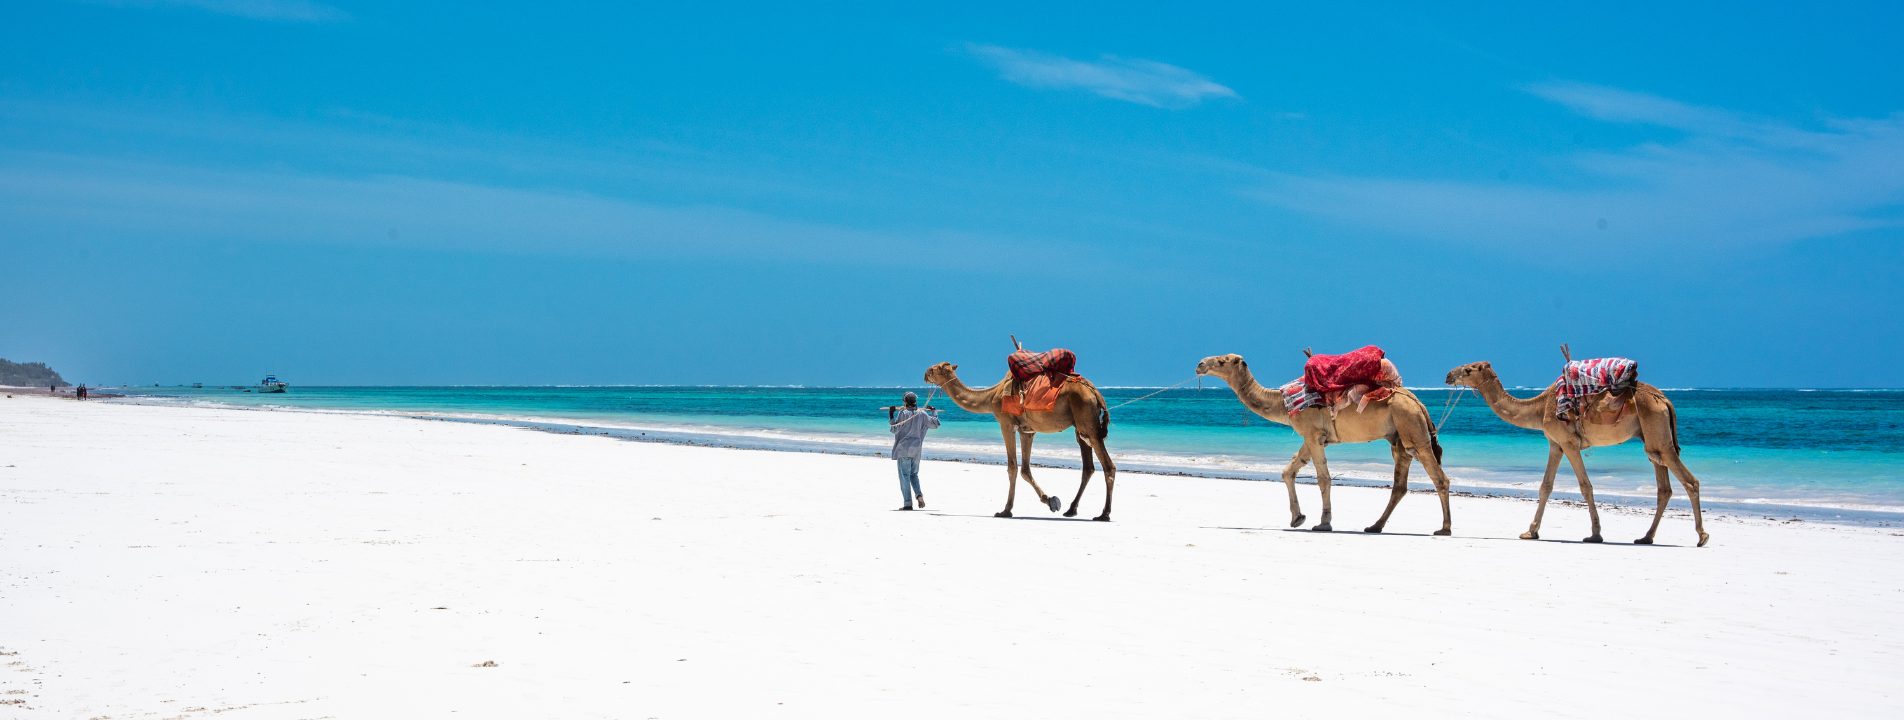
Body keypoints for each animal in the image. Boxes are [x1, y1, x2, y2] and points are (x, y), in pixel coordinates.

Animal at [922, 362, 1118, 520]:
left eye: (935, 368)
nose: (924, 374)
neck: (991, 396)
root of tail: (1095, 392)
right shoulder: (1027, 431)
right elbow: (1025, 470)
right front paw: (1051, 501)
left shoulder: (1006, 424)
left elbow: (1012, 468)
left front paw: (1005, 510)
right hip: (1081, 427)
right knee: (1088, 467)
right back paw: (1071, 510)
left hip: (1087, 420)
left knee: (1108, 467)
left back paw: (1104, 514)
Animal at [1195, 354, 1454, 535]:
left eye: (1222, 361)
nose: (1199, 364)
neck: (1282, 402)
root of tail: (1419, 403)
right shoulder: (1315, 437)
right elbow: (1288, 470)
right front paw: (1297, 518)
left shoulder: (1311, 433)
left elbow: (1323, 478)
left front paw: (1323, 523)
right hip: (1400, 439)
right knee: (1399, 485)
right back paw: (1374, 526)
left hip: (1413, 429)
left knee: (1440, 478)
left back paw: (1444, 529)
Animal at [1444, 361, 1708, 547]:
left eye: (1468, 369)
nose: (1448, 375)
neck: (1540, 407)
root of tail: (1664, 400)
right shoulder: (1555, 444)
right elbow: (1545, 486)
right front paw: (1531, 531)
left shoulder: (1569, 442)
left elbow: (1585, 486)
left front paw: (1595, 535)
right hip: (1651, 438)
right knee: (1664, 487)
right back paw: (1646, 537)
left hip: (1658, 433)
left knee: (1690, 481)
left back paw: (1701, 536)